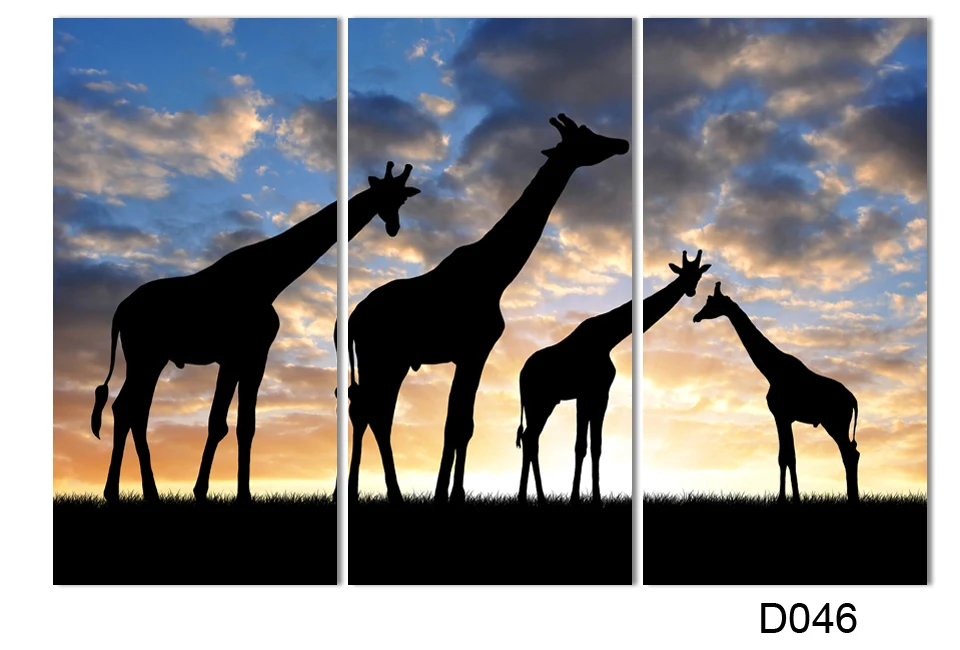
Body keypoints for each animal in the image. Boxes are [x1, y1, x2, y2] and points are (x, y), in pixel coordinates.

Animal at [90, 162, 420, 504]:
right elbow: (217, 423)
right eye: (385, 195)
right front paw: (202, 491)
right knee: (129, 409)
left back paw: (132, 492)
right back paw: (130, 492)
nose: (393, 227)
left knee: (130, 409)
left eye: (401, 199)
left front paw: (242, 494)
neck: (269, 278)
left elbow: (244, 425)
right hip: (145, 356)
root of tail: (120, 311)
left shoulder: (254, 356)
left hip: (151, 358)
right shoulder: (234, 356)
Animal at [515, 300, 632, 505]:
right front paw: (578, 499)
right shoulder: (591, 393)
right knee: (530, 437)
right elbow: (583, 446)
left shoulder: (595, 394)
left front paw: (593, 499)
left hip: (539, 404)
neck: (608, 338)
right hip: (540, 402)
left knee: (530, 437)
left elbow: (595, 446)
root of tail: (522, 376)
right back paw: (534, 498)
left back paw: (533, 498)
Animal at [692, 282, 860, 503]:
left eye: (711, 302)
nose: (696, 317)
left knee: (849, 454)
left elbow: (787, 457)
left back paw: (853, 499)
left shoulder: (781, 415)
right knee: (851, 453)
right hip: (834, 424)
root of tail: (854, 400)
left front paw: (787, 499)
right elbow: (786, 456)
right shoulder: (784, 418)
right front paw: (790, 498)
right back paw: (853, 498)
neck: (771, 370)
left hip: (835, 423)